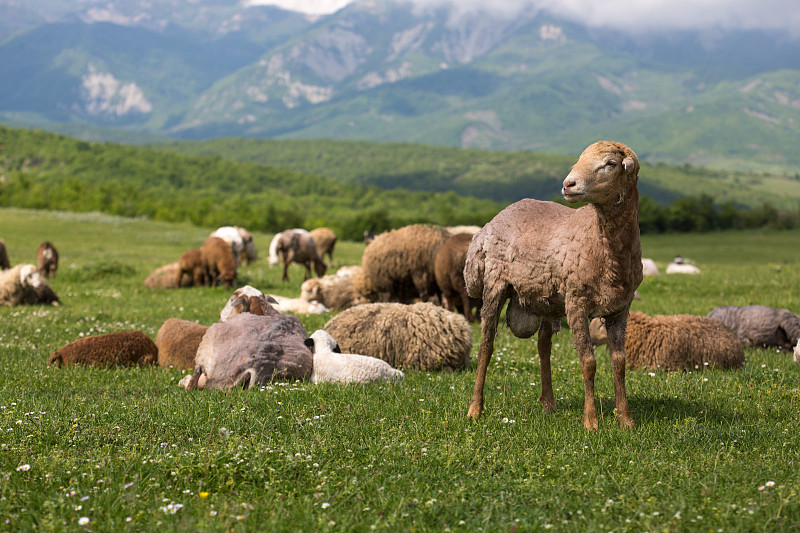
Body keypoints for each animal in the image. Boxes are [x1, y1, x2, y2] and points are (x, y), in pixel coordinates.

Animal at [462, 140, 644, 428]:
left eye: (610, 163)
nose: (568, 184)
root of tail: (490, 223)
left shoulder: (620, 309)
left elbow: (619, 363)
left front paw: (625, 420)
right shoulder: (577, 303)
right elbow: (588, 362)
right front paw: (591, 421)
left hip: (545, 299)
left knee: (543, 346)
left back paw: (548, 403)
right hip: (494, 285)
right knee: (486, 346)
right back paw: (475, 408)